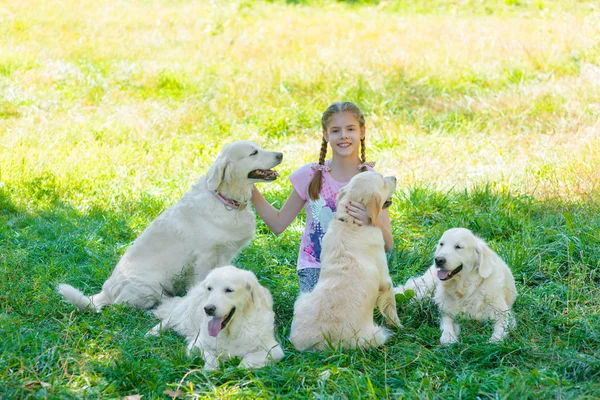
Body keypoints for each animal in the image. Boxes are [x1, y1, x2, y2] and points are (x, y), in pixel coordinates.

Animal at [57, 141, 282, 312]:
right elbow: (202, 282)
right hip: (151, 284)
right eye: (254, 152)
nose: (281, 154)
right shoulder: (205, 256)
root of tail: (105, 292)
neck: (225, 200)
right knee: (124, 306)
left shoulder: (225, 256)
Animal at [146, 264, 284, 370]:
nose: (208, 309)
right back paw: (151, 333)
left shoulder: (274, 350)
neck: (231, 333)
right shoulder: (197, 345)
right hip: (185, 309)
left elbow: (247, 361)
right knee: (169, 319)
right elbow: (211, 357)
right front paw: (211, 371)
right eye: (210, 288)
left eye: (229, 290)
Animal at [288, 172, 400, 350]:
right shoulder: (385, 281)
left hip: (302, 299)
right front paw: (398, 325)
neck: (350, 222)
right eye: (383, 181)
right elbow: (391, 306)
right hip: (375, 335)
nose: (395, 177)